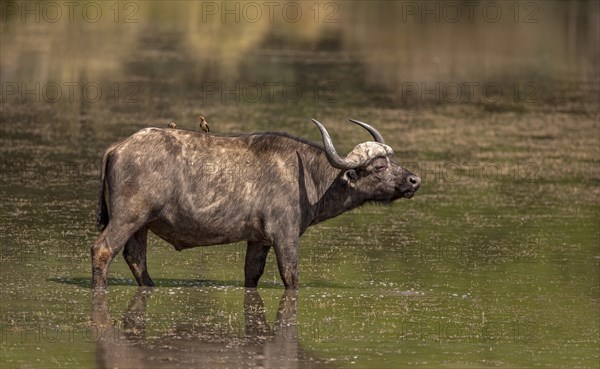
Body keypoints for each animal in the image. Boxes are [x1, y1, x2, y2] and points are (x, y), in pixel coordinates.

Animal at [92, 119, 422, 288]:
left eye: (392, 160)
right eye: (379, 166)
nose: (414, 180)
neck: (310, 178)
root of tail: (117, 147)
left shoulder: (258, 240)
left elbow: (252, 274)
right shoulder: (285, 236)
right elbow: (290, 276)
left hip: (142, 224)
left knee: (135, 258)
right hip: (128, 218)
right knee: (103, 250)